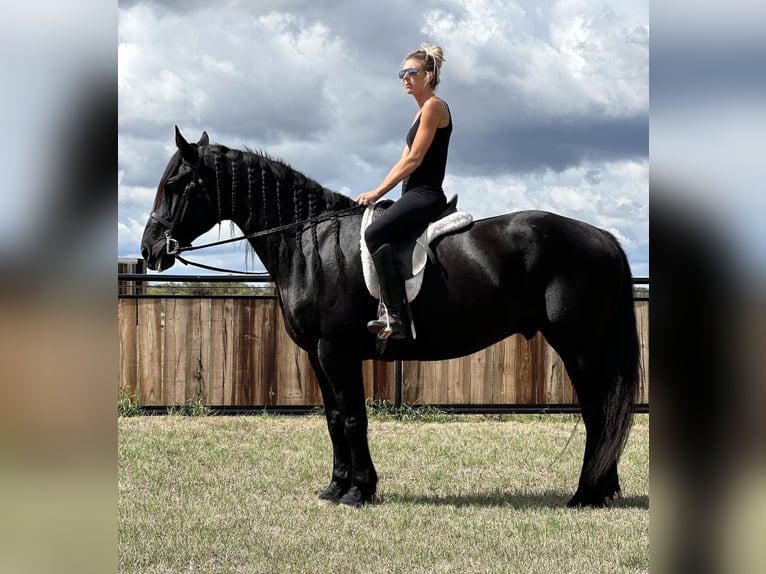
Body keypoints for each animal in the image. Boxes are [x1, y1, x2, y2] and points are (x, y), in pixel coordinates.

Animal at [140, 129, 640, 508]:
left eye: (176, 184)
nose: (149, 249)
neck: (312, 244)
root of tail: (603, 237)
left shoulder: (336, 351)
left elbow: (353, 418)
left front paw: (358, 492)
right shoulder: (318, 356)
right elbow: (333, 419)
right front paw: (335, 487)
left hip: (579, 348)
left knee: (598, 413)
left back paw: (586, 494)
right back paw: (602, 490)